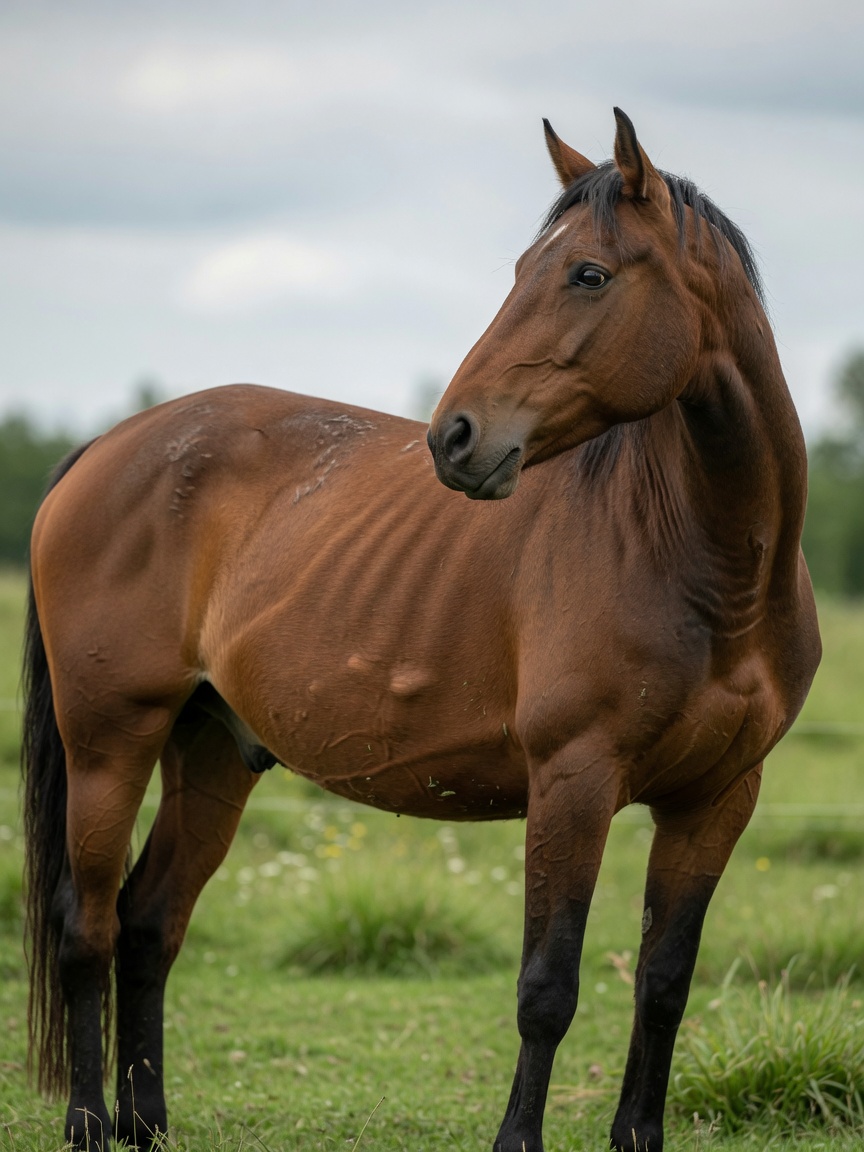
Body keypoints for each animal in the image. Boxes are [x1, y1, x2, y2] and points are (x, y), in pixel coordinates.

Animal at [22, 108, 820, 1152]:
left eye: (588, 274)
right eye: (524, 267)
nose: (456, 438)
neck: (710, 569)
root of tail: (106, 447)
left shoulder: (718, 800)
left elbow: (664, 984)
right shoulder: (573, 782)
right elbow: (547, 991)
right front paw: (517, 1140)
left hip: (210, 748)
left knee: (150, 924)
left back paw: (146, 1123)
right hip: (109, 741)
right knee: (88, 928)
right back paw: (87, 1122)